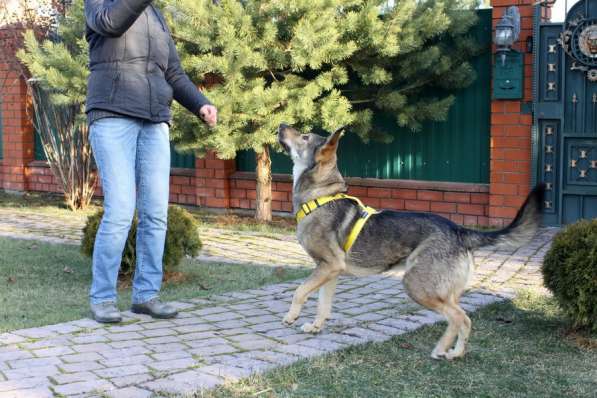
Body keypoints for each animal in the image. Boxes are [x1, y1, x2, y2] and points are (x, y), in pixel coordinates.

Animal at [278, 124, 544, 360]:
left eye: (304, 136)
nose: (281, 124)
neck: (319, 196)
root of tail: (458, 230)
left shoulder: (329, 266)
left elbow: (299, 291)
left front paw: (291, 316)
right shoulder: (330, 272)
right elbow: (323, 305)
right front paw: (315, 327)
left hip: (416, 285)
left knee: (460, 318)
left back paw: (445, 351)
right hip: (443, 291)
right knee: (459, 319)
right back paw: (453, 351)